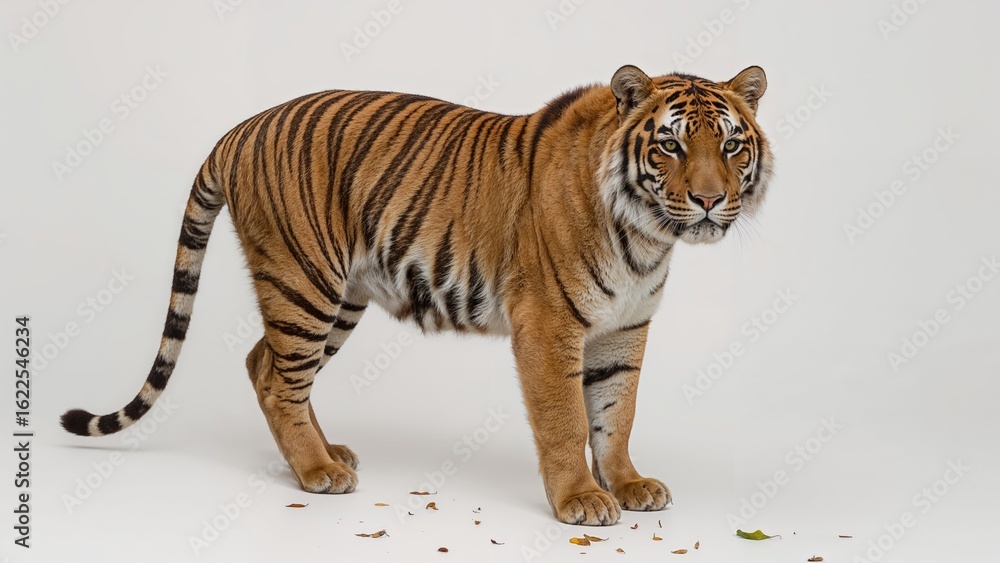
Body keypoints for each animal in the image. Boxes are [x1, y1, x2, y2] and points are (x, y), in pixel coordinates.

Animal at [61, 64, 773, 526]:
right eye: (670, 143)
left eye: (732, 145)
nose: (709, 200)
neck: (647, 237)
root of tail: (240, 128)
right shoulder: (549, 325)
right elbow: (567, 418)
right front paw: (579, 499)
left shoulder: (624, 330)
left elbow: (615, 416)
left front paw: (628, 485)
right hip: (305, 281)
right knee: (276, 377)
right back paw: (317, 473)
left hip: (339, 296)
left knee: (266, 363)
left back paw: (327, 453)